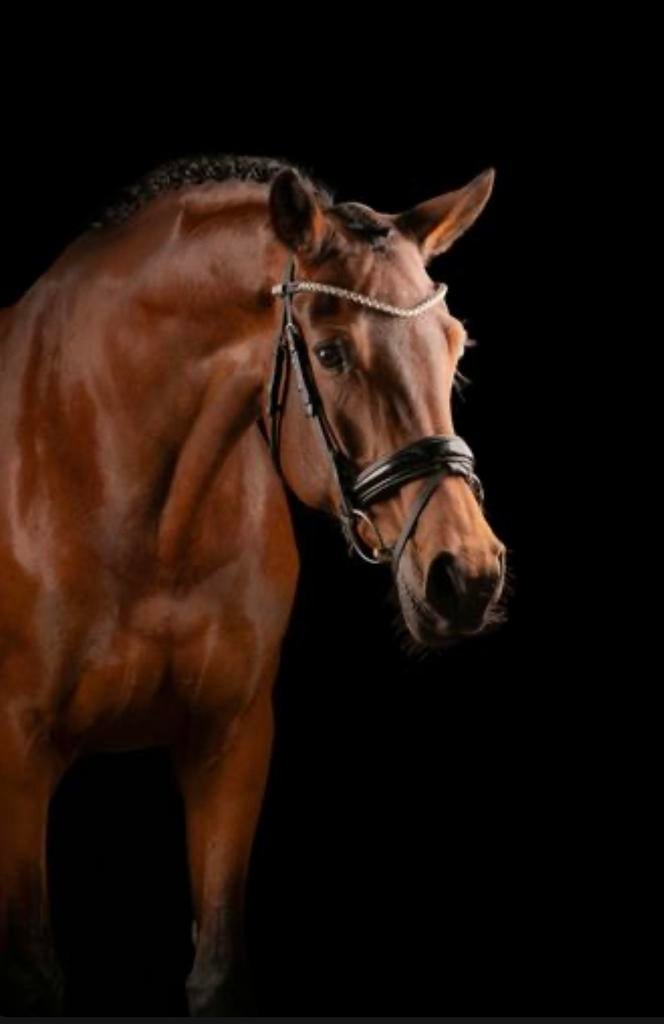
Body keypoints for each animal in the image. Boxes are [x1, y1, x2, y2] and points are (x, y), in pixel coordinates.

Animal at [0, 154, 506, 1015]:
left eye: (455, 346)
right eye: (331, 354)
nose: (465, 576)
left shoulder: (230, 742)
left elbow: (218, 969)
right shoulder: (19, 755)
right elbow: (29, 972)